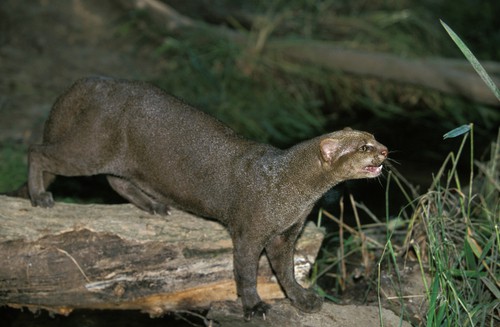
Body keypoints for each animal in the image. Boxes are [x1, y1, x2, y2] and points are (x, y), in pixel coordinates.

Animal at [27, 78, 388, 322]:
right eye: (363, 147)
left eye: (373, 137)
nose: (385, 150)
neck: (289, 188)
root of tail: (95, 81)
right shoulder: (250, 229)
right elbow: (245, 271)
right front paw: (255, 306)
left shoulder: (285, 234)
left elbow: (285, 272)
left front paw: (304, 300)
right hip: (91, 147)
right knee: (38, 151)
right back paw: (39, 196)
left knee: (116, 181)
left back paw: (155, 206)